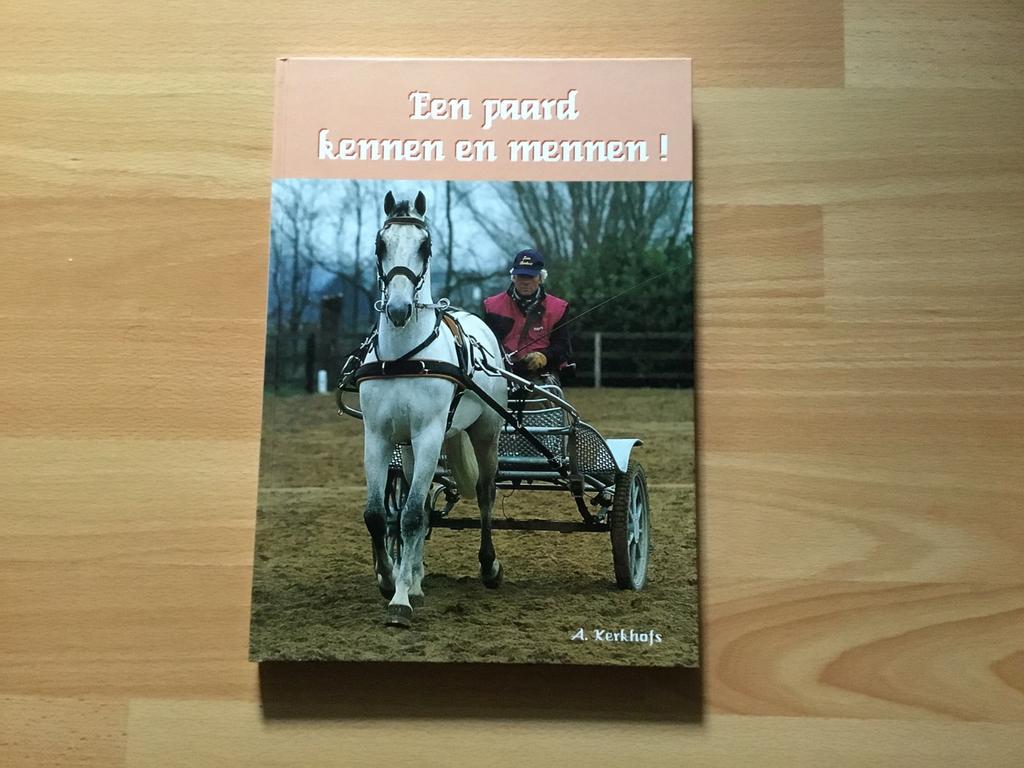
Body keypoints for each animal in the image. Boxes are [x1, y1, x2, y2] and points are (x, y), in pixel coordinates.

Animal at [357, 190, 509, 627]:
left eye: (424, 247)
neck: (404, 357)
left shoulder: (428, 433)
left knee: (485, 492)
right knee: (419, 501)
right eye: (380, 245)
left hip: (484, 432)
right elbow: (381, 515)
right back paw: (415, 578)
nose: (398, 309)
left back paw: (489, 566)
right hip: (410, 446)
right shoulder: (378, 436)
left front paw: (399, 603)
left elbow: (408, 517)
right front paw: (391, 579)